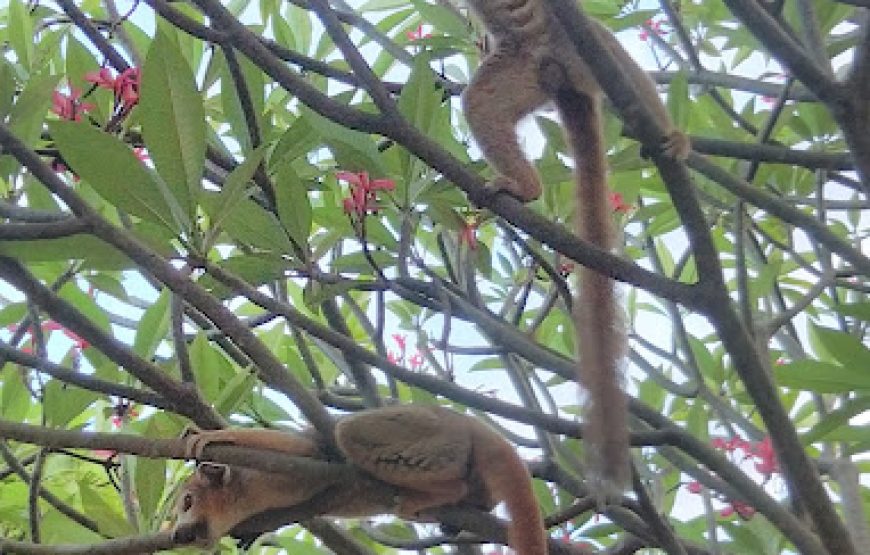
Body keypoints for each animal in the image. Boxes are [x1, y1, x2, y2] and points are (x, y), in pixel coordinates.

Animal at [174, 404, 548, 555]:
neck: (249, 496)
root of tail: (468, 422)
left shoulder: (277, 467)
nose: (177, 534)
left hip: (422, 430)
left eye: (187, 502)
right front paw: (252, 533)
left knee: (346, 431)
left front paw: (210, 435)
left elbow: (300, 446)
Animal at [464, 0, 688, 498]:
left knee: (616, 57)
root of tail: (560, 73)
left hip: (579, 50)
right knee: (480, 103)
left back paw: (671, 134)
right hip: (518, 72)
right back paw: (526, 187)